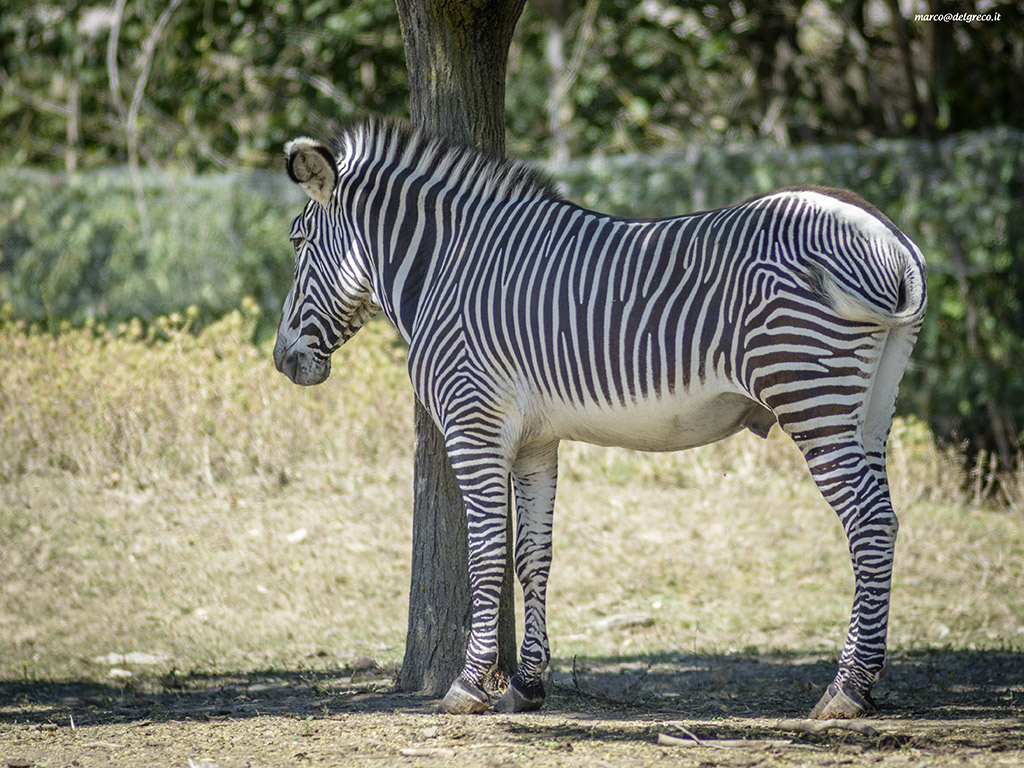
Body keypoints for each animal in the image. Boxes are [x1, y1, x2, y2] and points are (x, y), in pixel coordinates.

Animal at [273, 118, 927, 718]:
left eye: (298, 241)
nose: (283, 361)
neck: (446, 266)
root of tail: (887, 232)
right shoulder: (535, 441)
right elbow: (531, 555)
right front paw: (527, 686)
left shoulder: (472, 422)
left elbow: (486, 553)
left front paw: (468, 685)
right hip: (871, 408)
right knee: (887, 518)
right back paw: (865, 683)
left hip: (812, 396)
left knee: (869, 524)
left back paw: (845, 691)